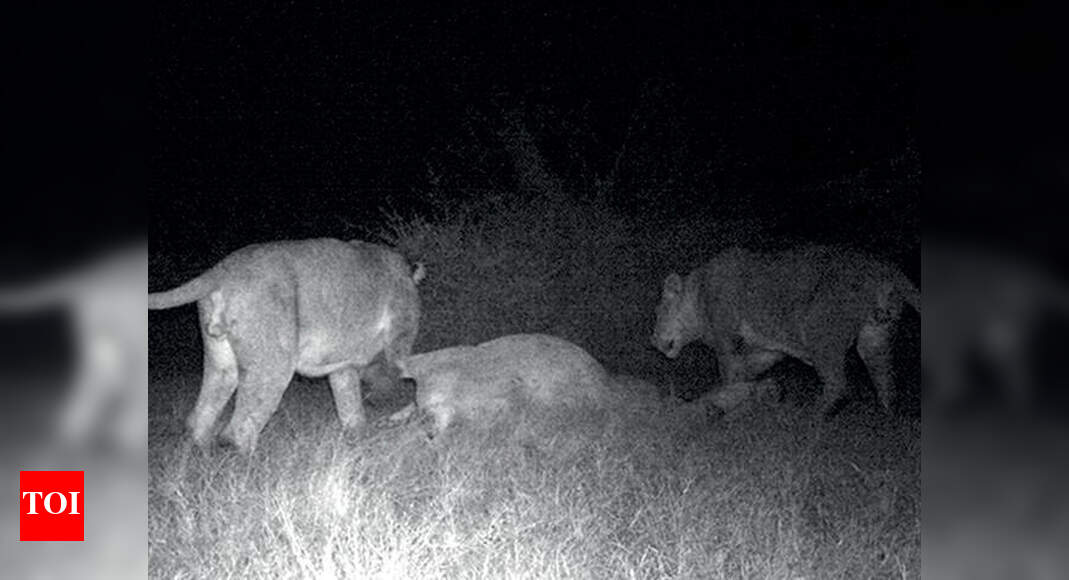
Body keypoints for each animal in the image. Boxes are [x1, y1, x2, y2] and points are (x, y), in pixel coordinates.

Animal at [148, 238, 424, 453]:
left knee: (200, 418)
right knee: (238, 429)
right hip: (274, 363)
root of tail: (222, 269)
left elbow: (349, 403)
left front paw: (358, 438)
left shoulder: (341, 364)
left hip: (222, 362)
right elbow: (412, 381)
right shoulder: (398, 343)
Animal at [652, 245, 920, 416]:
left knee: (839, 386)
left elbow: (729, 372)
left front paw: (729, 400)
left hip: (820, 330)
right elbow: (746, 372)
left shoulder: (726, 336)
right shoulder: (768, 349)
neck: (699, 291)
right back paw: (887, 417)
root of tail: (883, 268)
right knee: (886, 382)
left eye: (659, 312)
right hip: (876, 336)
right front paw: (748, 395)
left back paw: (810, 418)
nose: (653, 341)